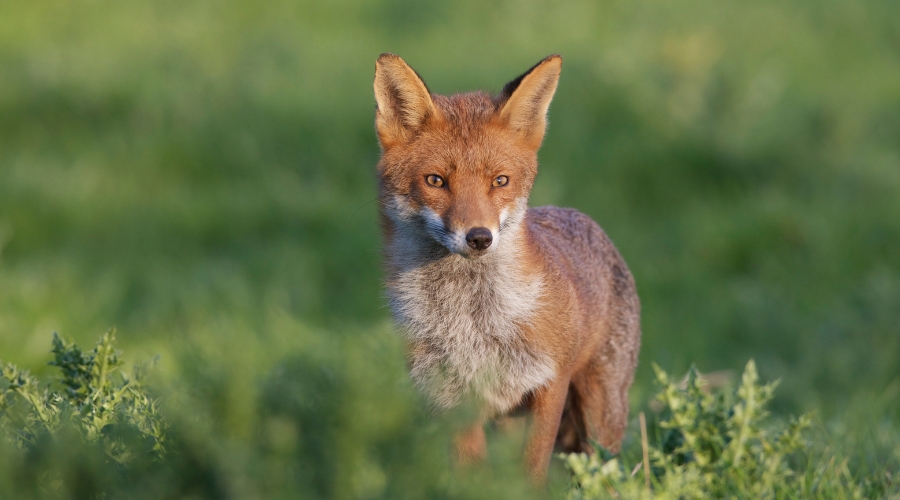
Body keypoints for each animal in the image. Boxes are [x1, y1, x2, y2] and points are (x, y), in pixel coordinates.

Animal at [372, 53, 640, 480]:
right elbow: (471, 476)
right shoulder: (452, 399)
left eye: (500, 181)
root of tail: (579, 215)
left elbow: (532, 473)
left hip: (600, 413)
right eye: (435, 181)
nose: (479, 237)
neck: (471, 323)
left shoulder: (549, 384)